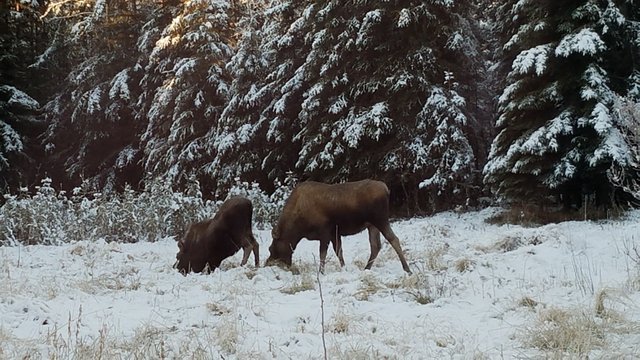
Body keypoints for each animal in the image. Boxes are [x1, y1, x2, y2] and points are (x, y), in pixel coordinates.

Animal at [264, 179, 410, 274]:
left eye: (271, 248)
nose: (267, 264)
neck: (298, 228)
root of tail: (386, 189)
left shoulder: (324, 231)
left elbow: (323, 253)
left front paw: (321, 272)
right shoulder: (335, 233)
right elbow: (339, 251)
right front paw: (343, 269)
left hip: (380, 219)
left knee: (393, 239)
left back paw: (407, 269)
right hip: (372, 225)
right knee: (376, 245)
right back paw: (366, 268)